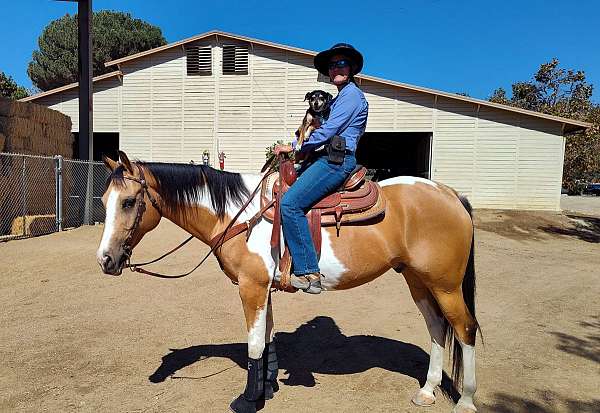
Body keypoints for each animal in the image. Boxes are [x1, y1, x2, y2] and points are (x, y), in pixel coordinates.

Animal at [96, 151, 480, 412]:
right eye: (104, 201)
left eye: (128, 202)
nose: (105, 260)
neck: (237, 215)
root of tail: (450, 194)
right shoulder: (263, 289)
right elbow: (267, 338)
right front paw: (266, 388)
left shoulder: (250, 287)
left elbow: (253, 344)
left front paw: (247, 400)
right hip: (418, 280)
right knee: (436, 327)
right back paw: (427, 391)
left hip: (445, 284)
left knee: (463, 328)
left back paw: (466, 401)